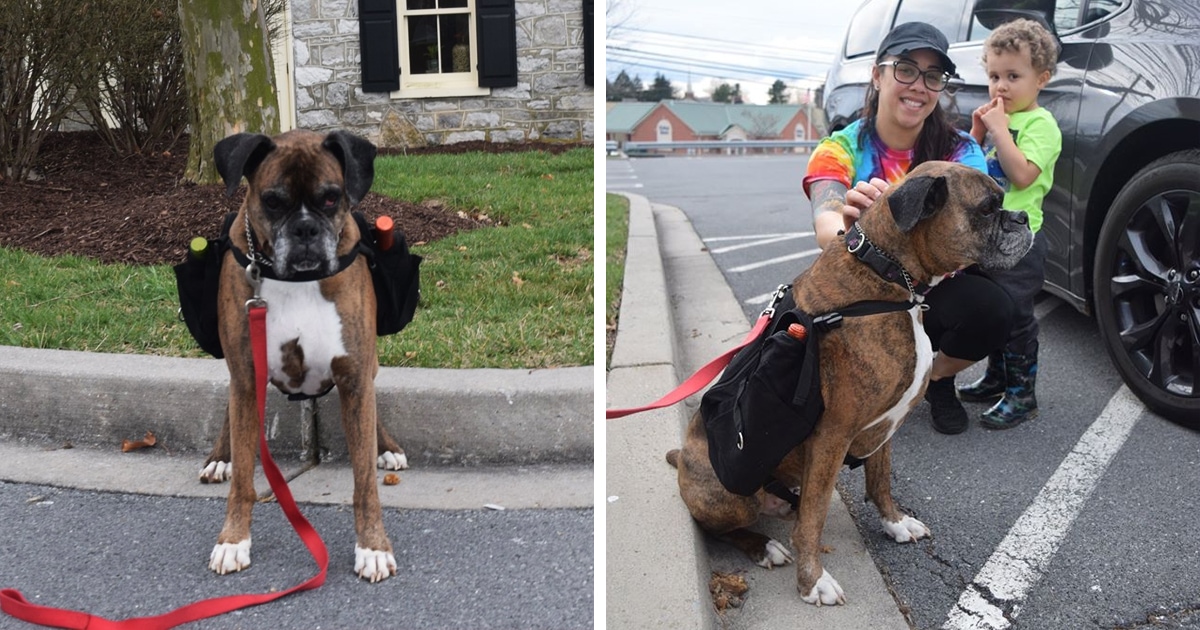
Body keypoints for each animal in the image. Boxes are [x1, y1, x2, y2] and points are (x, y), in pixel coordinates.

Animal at [196, 127, 403, 580]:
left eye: (331, 198)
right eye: (273, 200)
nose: (306, 229)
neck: (295, 280)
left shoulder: (354, 377)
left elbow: (364, 482)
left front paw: (373, 547)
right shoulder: (246, 374)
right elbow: (243, 479)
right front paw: (233, 540)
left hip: (368, 368)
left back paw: (387, 447)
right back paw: (220, 457)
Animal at [667, 162, 1032, 604]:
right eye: (987, 208)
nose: (1023, 217)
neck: (887, 272)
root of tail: (681, 459)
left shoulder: (884, 428)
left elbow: (880, 481)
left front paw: (895, 523)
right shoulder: (832, 435)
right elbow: (814, 519)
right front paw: (812, 581)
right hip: (731, 497)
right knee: (718, 529)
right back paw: (763, 546)